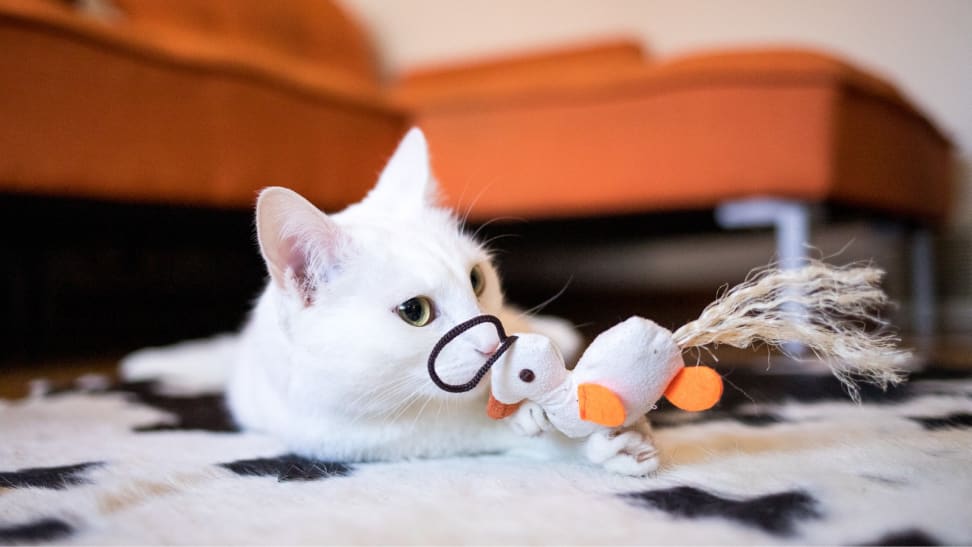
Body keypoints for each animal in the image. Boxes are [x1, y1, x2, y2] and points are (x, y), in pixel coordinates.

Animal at [119, 128, 652, 476]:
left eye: (476, 279)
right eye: (415, 312)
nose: (494, 345)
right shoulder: (368, 438)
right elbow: (479, 431)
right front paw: (583, 444)